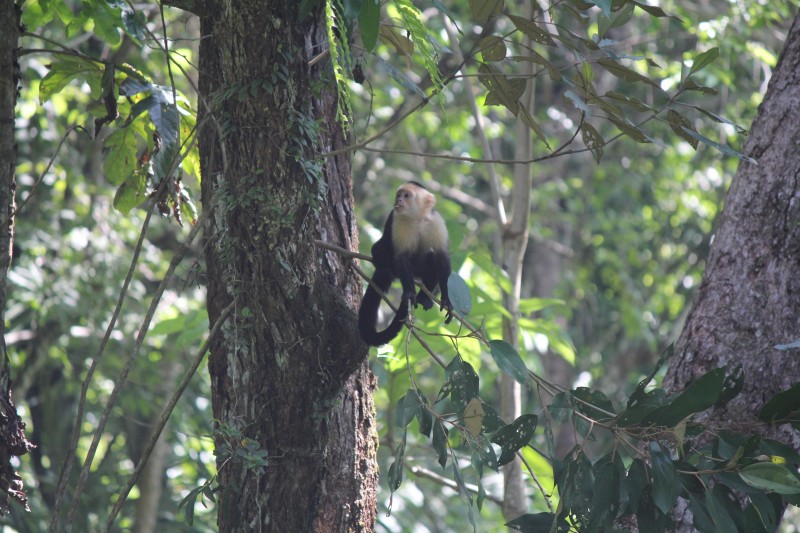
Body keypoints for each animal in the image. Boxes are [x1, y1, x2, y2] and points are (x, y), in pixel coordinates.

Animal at [358, 181, 454, 346]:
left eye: (407, 195)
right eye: (399, 195)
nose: (399, 200)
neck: (417, 218)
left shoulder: (436, 222)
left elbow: (441, 257)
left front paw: (446, 299)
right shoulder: (399, 220)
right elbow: (401, 257)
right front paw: (409, 293)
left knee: (431, 257)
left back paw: (424, 297)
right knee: (378, 250)